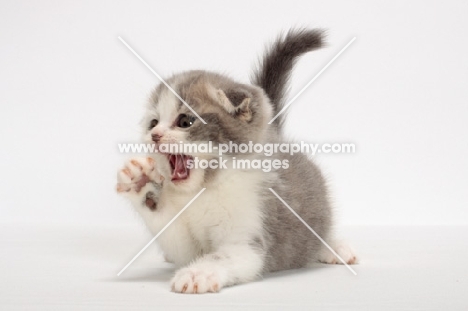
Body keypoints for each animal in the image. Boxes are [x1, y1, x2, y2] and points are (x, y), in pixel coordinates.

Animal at [117, 29, 358, 294]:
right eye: (153, 123)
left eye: (185, 121)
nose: (155, 135)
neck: (205, 190)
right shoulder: (186, 244)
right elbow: (178, 244)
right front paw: (142, 183)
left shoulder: (249, 234)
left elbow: (222, 256)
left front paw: (197, 273)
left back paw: (334, 247)